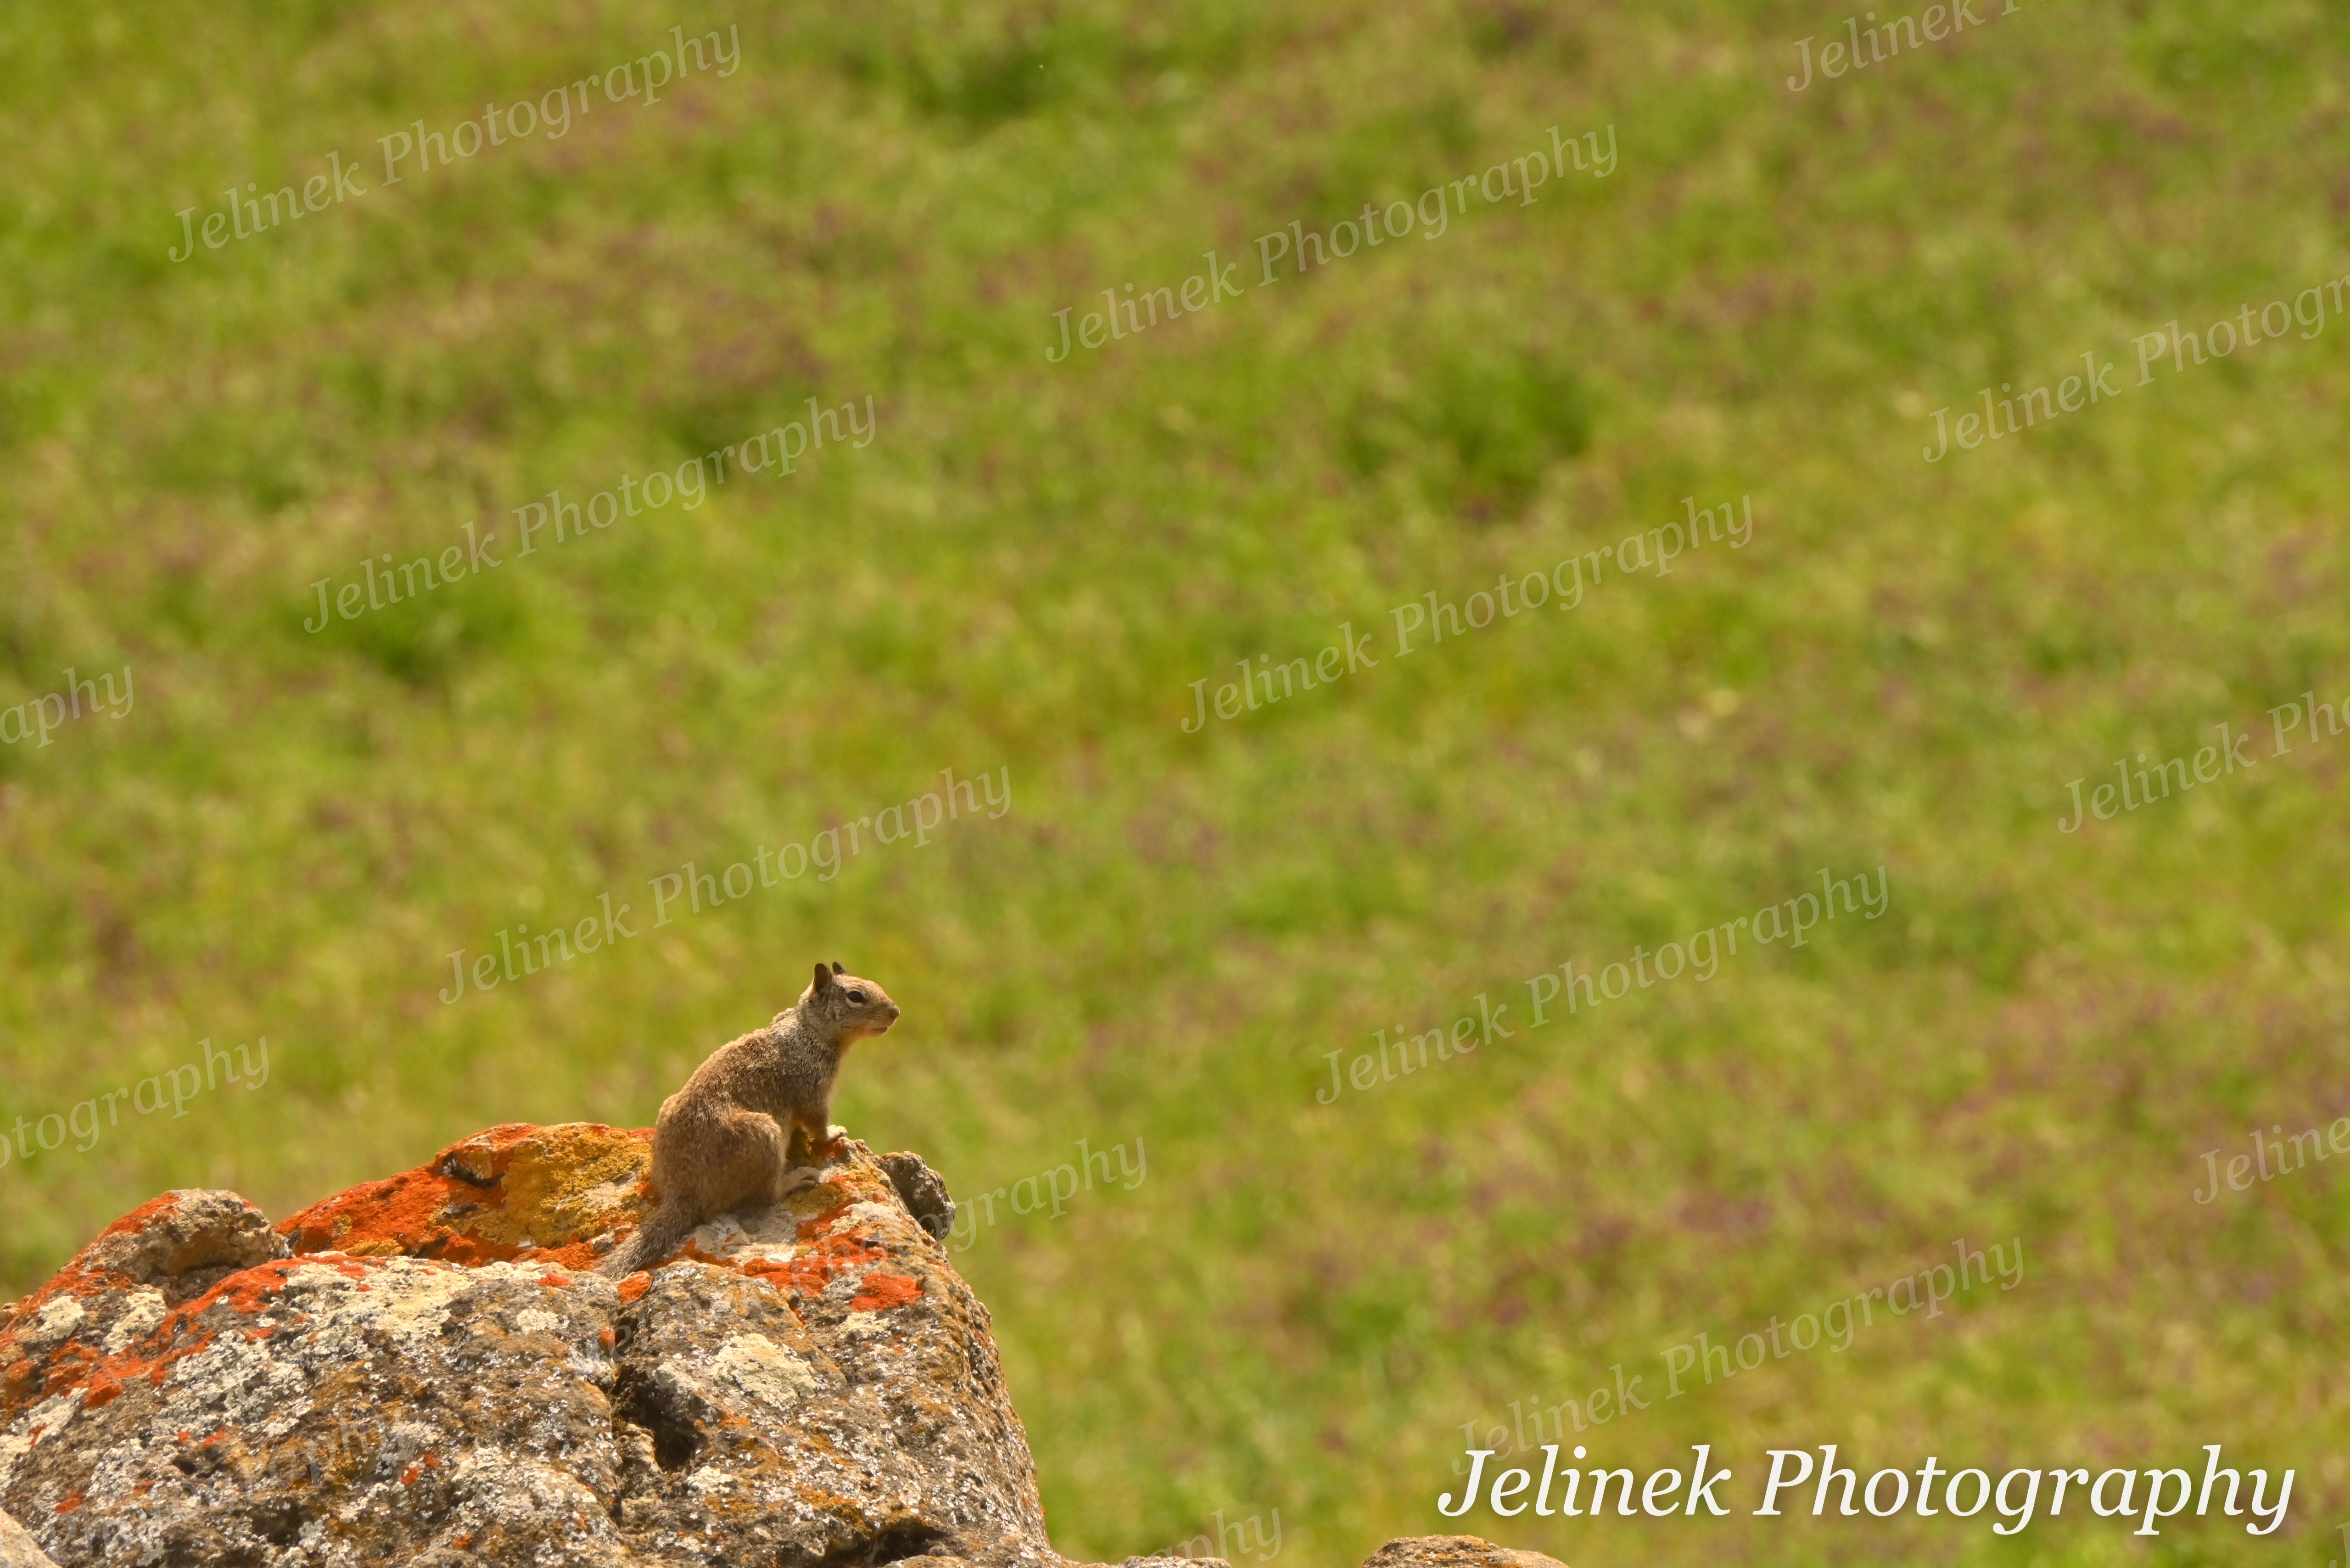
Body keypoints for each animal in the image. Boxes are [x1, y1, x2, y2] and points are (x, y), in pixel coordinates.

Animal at [597, 961, 901, 1278]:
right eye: (856, 996)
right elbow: (817, 1123)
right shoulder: (813, 1089)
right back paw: (797, 1179)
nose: (896, 1012)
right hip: (764, 1135)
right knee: (767, 1195)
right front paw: (834, 1133)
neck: (809, 1029)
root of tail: (683, 1195)